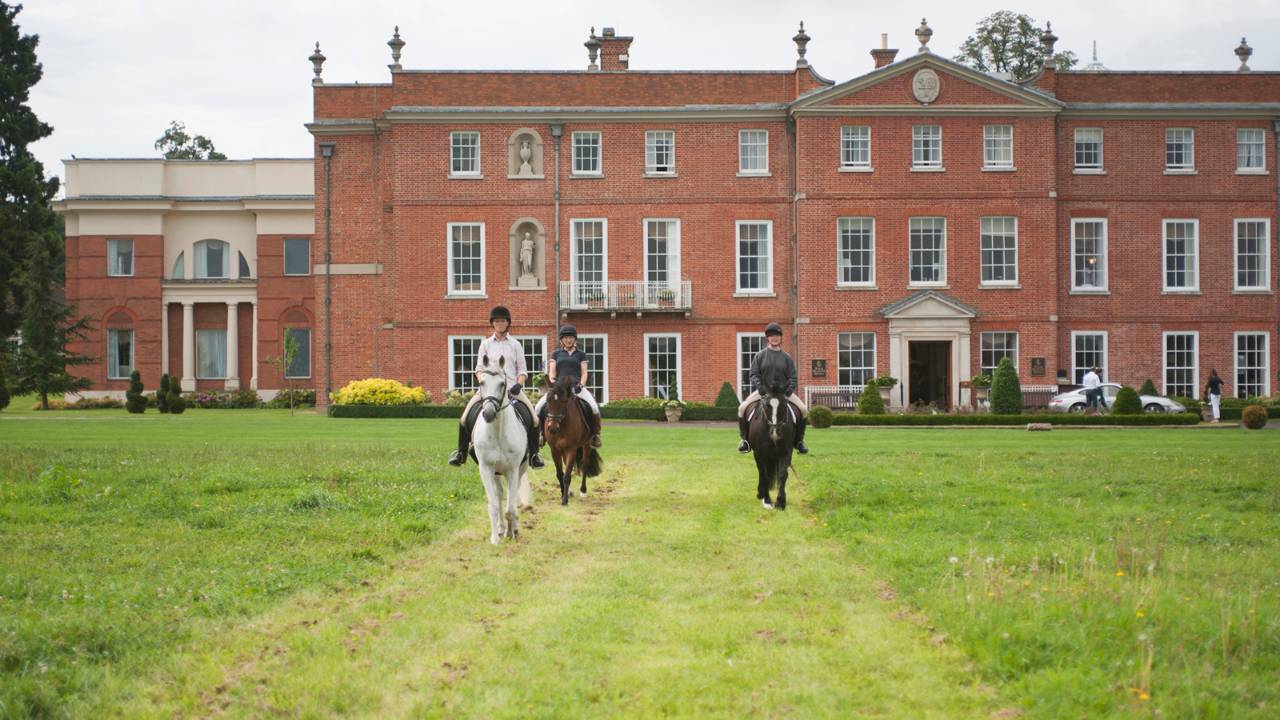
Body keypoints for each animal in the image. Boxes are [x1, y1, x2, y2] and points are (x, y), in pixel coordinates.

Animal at [540, 371, 599, 502]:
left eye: (563, 401)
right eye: (548, 401)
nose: (552, 429)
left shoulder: (571, 448)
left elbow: (567, 475)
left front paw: (564, 500)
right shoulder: (555, 450)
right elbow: (560, 473)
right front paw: (564, 493)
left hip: (586, 445)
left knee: (584, 464)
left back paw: (583, 491)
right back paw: (570, 491)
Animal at [747, 379, 793, 507]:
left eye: (784, 405)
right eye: (767, 405)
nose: (775, 432)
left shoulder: (786, 452)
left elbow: (783, 474)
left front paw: (781, 501)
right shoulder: (759, 453)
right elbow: (765, 475)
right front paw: (767, 500)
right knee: (762, 472)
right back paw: (761, 494)